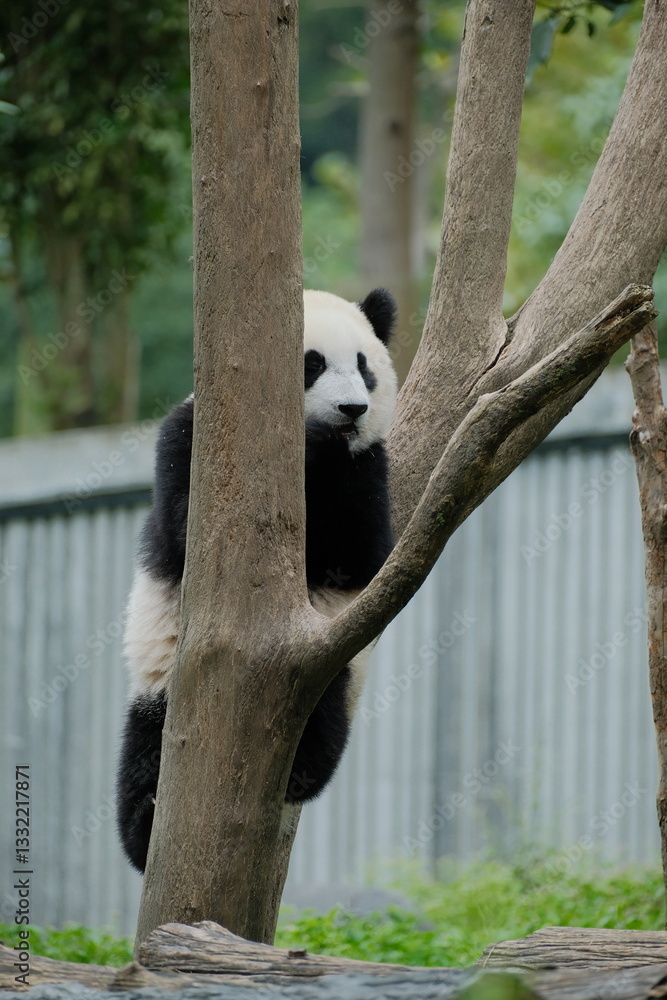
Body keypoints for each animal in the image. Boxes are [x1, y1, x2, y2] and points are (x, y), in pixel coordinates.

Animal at [116, 287, 398, 872]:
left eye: (365, 367)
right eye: (312, 364)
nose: (352, 411)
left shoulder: (372, 466)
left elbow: (362, 553)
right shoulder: (191, 437)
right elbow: (185, 528)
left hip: (326, 663)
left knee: (320, 725)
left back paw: (298, 772)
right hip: (157, 686)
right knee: (143, 753)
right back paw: (145, 823)